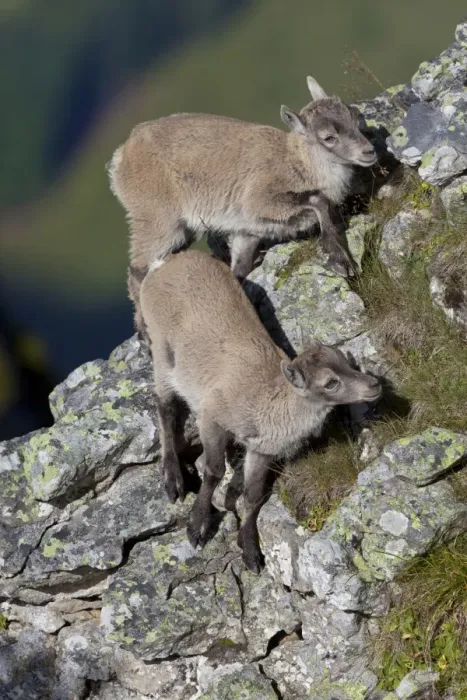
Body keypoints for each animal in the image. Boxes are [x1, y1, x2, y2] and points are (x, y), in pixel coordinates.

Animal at [109, 77, 376, 335]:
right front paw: (340, 260)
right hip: (158, 220)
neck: (297, 163)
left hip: (182, 231)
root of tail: (121, 157)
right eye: (329, 137)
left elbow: (239, 268)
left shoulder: (247, 232)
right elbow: (317, 202)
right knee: (138, 269)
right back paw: (144, 331)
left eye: (355, 117)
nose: (369, 151)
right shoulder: (260, 200)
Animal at [140, 250, 381, 573]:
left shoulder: (262, 449)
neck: (267, 402)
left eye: (345, 361)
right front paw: (197, 526)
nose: (374, 385)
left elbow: (253, 496)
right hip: (162, 351)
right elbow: (214, 471)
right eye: (330, 382)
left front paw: (251, 551)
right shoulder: (212, 417)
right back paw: (173, 480)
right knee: (165, 406)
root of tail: (164, 264)